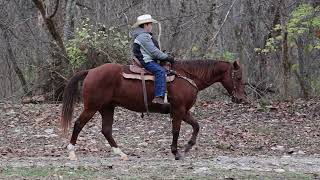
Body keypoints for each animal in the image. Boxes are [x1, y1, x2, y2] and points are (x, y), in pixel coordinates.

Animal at [61, 59, 246, 160]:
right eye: (238, 77)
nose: (240, 98)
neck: (188, 76)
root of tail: (91, 71)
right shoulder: (178, 110)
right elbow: (176, 130)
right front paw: (176, 152)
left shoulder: (184, 111)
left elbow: (196, 126)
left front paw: (187, 147)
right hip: (91, 107)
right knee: (78, 124)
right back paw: (71, 153)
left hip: (107, 108)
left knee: (106, 130)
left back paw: (121, 154)